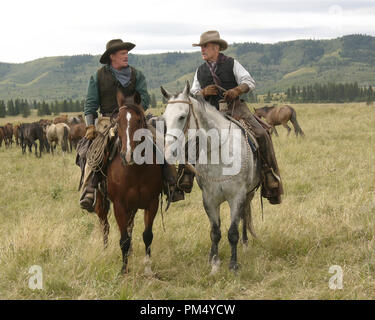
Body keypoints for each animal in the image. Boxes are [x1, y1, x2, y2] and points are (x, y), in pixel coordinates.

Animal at [94, 90, 163, 276]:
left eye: (139, 120)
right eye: (118, 122)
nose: (128, 155)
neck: (135, 171)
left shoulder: (152, 202)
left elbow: (147, 235)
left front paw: (148, 268)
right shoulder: (119, 204)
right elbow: (123, 239)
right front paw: (124, 270)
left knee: (130, 226)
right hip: (102, 202)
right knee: (105, 225)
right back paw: (105, 251)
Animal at [162, 82, 262, 272]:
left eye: (182, 116)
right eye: (164, 119)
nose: (168, 153)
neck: (219, 152)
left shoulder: (236, 196)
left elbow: (233, 232)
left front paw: (233, 265)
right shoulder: (209, 198)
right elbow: (215, 232)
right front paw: (214, 263)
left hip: (249, 193)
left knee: (245, 216)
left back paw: (245, 243)